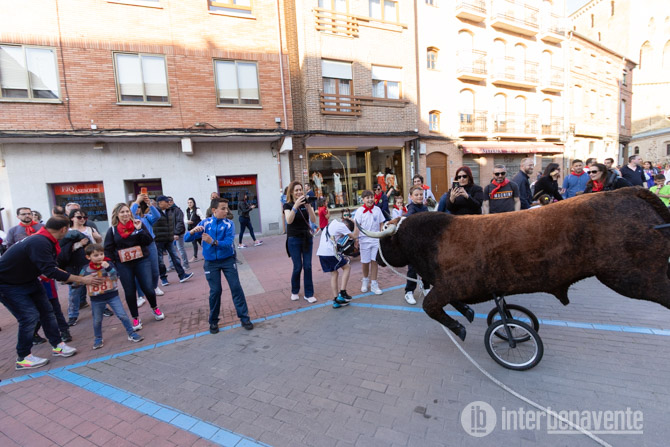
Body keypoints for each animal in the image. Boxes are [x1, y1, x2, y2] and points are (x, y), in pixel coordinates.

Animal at [358, 187, 670, 341]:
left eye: (387, 238)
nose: (376, 258)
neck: (430, 239)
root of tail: (624, 193)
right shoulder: (454, 286)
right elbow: (454, 304)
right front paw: (468, 313)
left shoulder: (449, 285)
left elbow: (430, 306)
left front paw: (459, 327)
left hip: (636, 276)